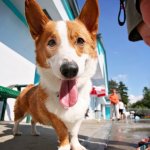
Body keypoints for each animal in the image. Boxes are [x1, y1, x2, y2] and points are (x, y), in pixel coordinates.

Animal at [12, 0, 99, 149]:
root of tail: (28, 87)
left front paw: (76, 145)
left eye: (80, 40)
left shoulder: (78, 117)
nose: (69, 69)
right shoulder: (54, 117)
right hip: (21, 111)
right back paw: (15, 132)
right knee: (17, 121)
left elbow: (74, 133)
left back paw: (35, 132)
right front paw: (64, 146)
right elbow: (63, 132)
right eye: (51, 42)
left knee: (33, 121)